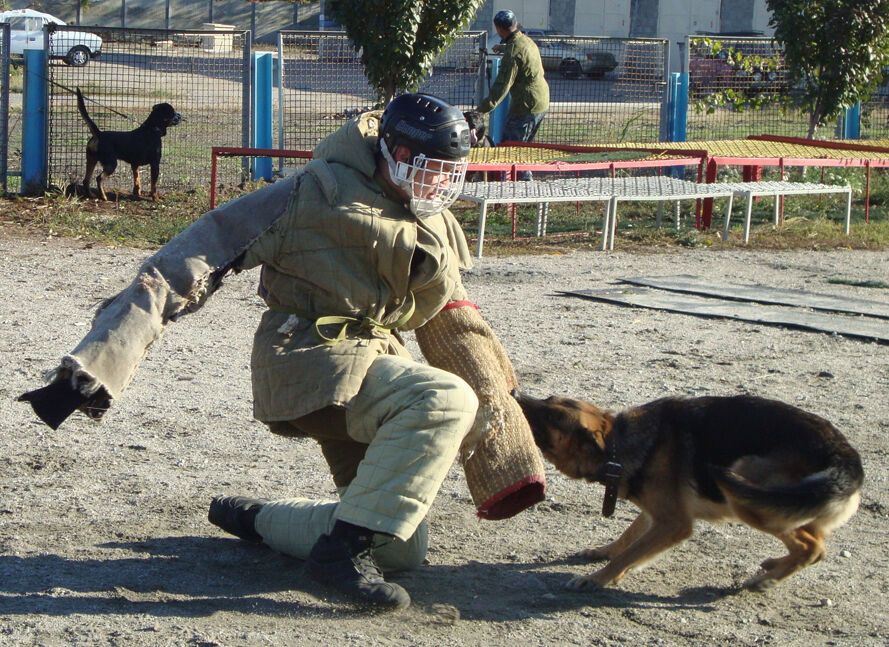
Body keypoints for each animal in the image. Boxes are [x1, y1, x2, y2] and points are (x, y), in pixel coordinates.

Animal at [510, 390, 864, 592]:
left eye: (552, 415)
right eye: (549, 401)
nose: (515, 392)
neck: (617, 445)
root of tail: (845, 456)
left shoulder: (675, 523)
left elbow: (631, 552)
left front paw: (597, 578)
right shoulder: (657, 513)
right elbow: (629, 537)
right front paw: (604, 552)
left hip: (746, 490)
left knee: (812, 547)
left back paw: (764, 579)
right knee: (815, 542)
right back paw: (774, 567)